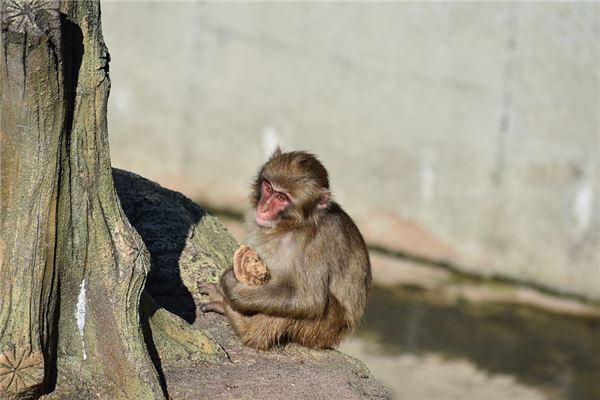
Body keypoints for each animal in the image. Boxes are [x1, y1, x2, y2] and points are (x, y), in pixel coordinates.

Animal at [199, 150, 370, 350]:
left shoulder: (318, 243)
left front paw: (231, 286)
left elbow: (308, 300)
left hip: (324, 329)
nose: (263, 208)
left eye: (282, 198)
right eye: (268, 188)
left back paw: (240, 322)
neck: (291, 226)